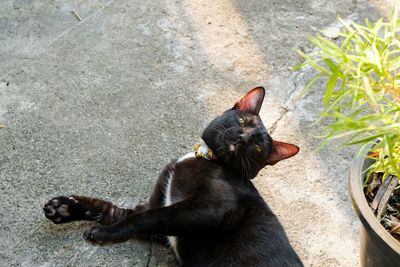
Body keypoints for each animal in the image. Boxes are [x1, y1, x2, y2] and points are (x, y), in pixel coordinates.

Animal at [43, 87, 302, 266]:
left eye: (257, 147)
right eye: (242, 121)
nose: (242, 138)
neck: (206, 157)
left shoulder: (206, 209)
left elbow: (147, 218)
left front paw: (103, 234)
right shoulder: (155, 207)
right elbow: (111, 210)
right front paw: (65, 208)